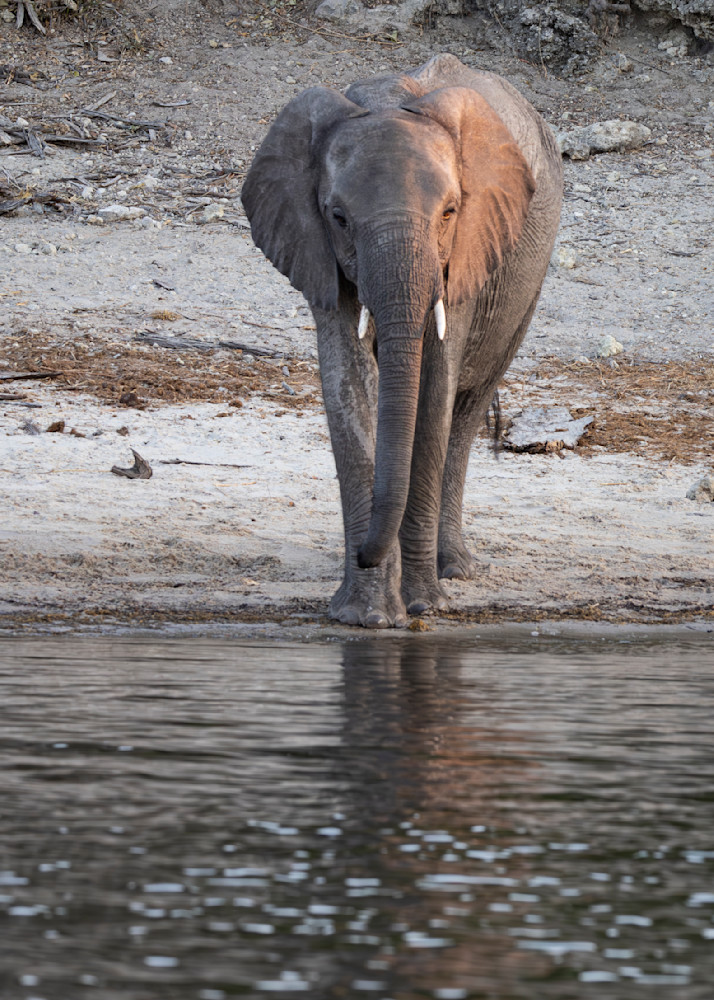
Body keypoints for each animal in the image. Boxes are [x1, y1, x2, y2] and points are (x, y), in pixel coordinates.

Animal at [241, 53, 563, 628]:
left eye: (450, 213)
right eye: (339, 218)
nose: (366, 552)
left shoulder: (465, 255)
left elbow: (433, 395)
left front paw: (422, 605)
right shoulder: (318, 252)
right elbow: (347, 386)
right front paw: (364, 617)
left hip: (527, 279)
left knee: (466, 412)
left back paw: (453, 569)